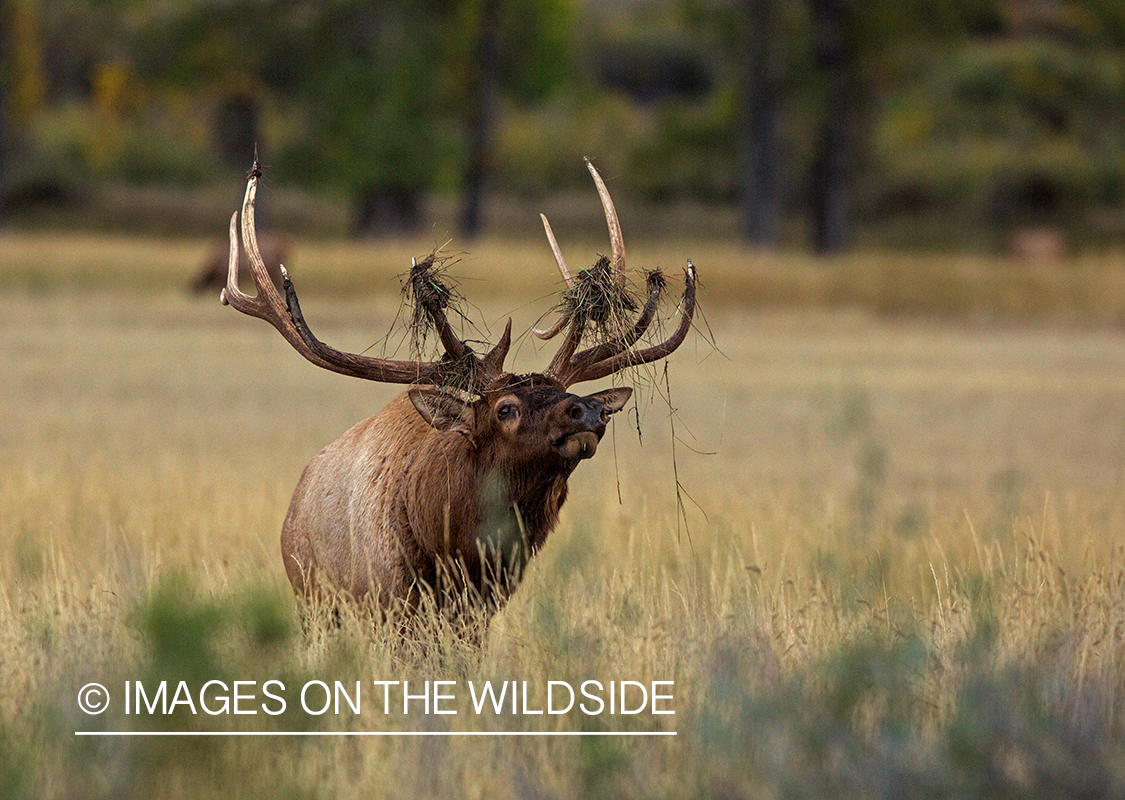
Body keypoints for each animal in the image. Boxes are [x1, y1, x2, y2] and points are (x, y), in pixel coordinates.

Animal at [219, 160, 693, 625]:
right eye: (505, 409)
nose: (589, 411)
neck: (453, 549)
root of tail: (293, 508)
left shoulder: (480, 611)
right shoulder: (391, 603)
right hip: (315, 603)